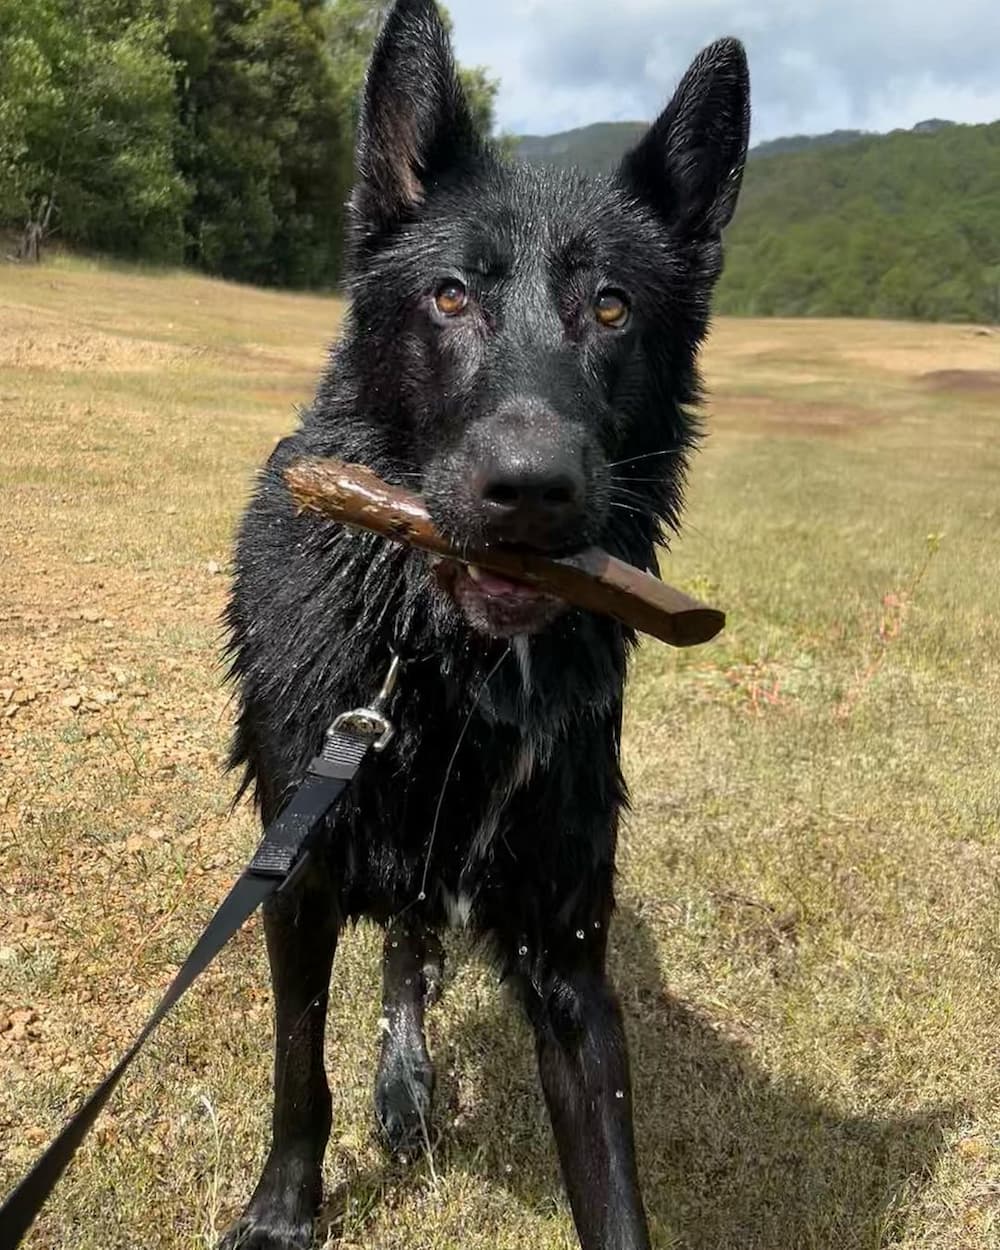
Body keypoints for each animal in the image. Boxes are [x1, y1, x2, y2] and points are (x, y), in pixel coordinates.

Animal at [221, 4, 750, 1245]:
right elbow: (297, 1067)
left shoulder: (568, 961)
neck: (441, 667)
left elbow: (613, 1190)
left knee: (412, 942)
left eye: (610, 306)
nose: (529, 490)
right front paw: (283, 1207)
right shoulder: (295, 880)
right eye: (451, 295)